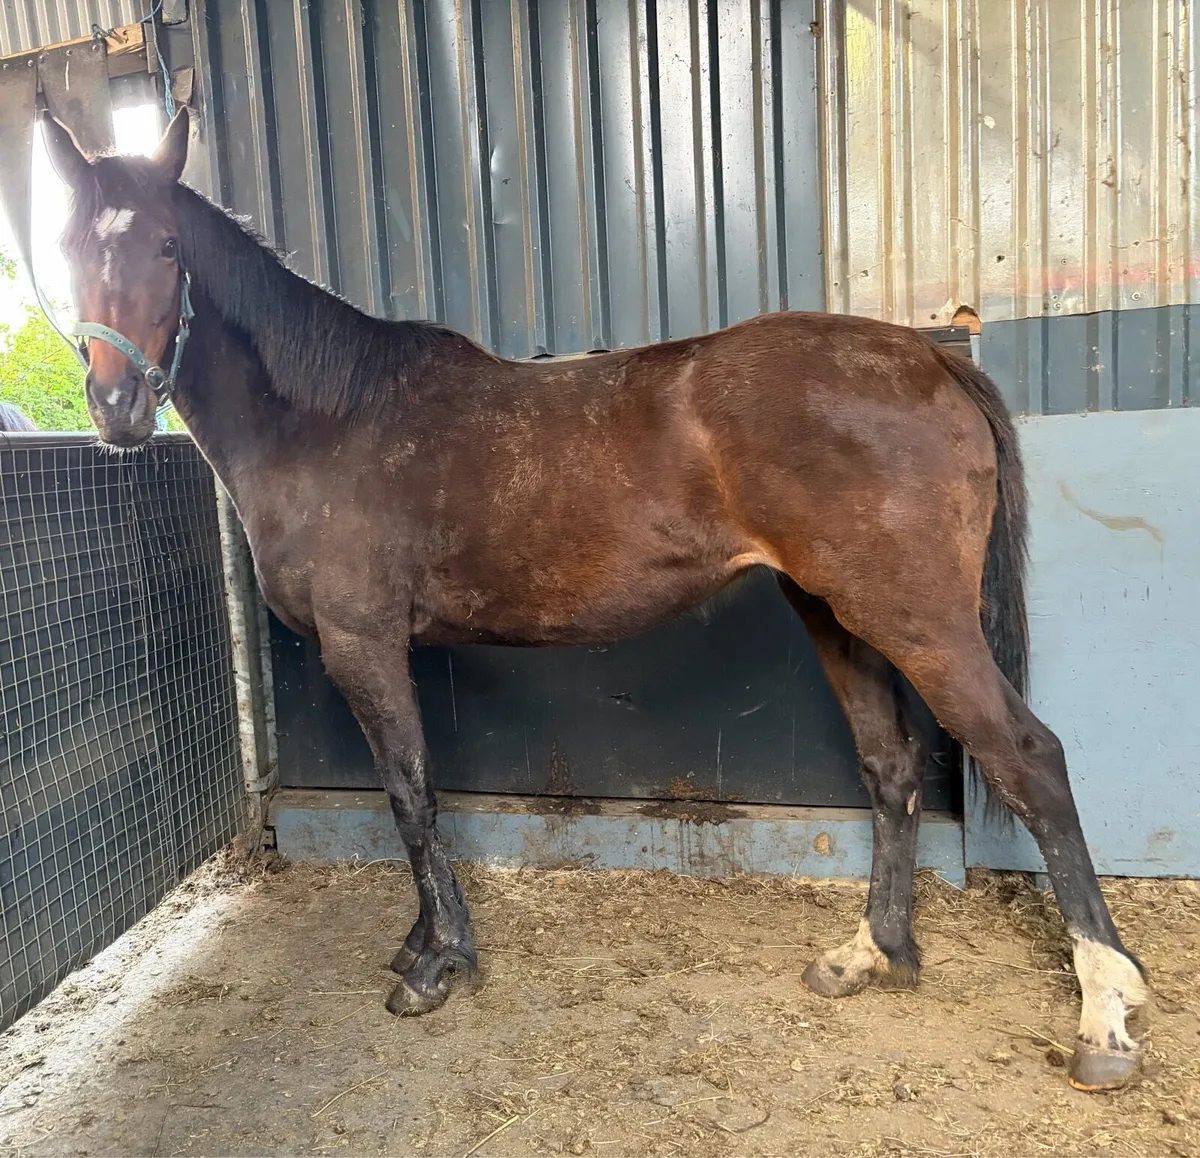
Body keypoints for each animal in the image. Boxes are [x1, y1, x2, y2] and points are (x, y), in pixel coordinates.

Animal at [41, 107, 1148, 1092]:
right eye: (63, 245)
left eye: (168, 246)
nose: (115, 409)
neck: (329, 419)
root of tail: (925, 355)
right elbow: (415, 795)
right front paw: (423, 942)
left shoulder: (365, 645)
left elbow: (410, 794)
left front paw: (438, 964)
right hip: (837, 615)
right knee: (892, 769)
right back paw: (869, 954)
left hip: (917, 621)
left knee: (1032, 761)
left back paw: (1105, 1016)